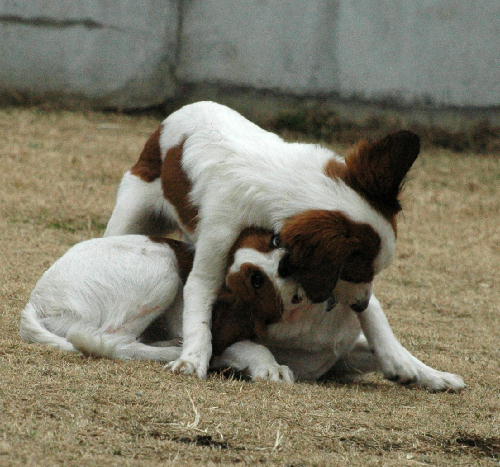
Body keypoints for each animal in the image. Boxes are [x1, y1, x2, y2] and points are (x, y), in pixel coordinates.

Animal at [19, 234, 464, 392]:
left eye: (274, 240)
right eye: (254, 281)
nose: (287, 259)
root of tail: (35, 302)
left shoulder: (341, 353)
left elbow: (389, 350)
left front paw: (429, 375)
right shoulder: (230, 333)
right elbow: (249, 346)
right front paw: (266, 367)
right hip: (162, 263)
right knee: (108, 339)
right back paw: (179, 351)